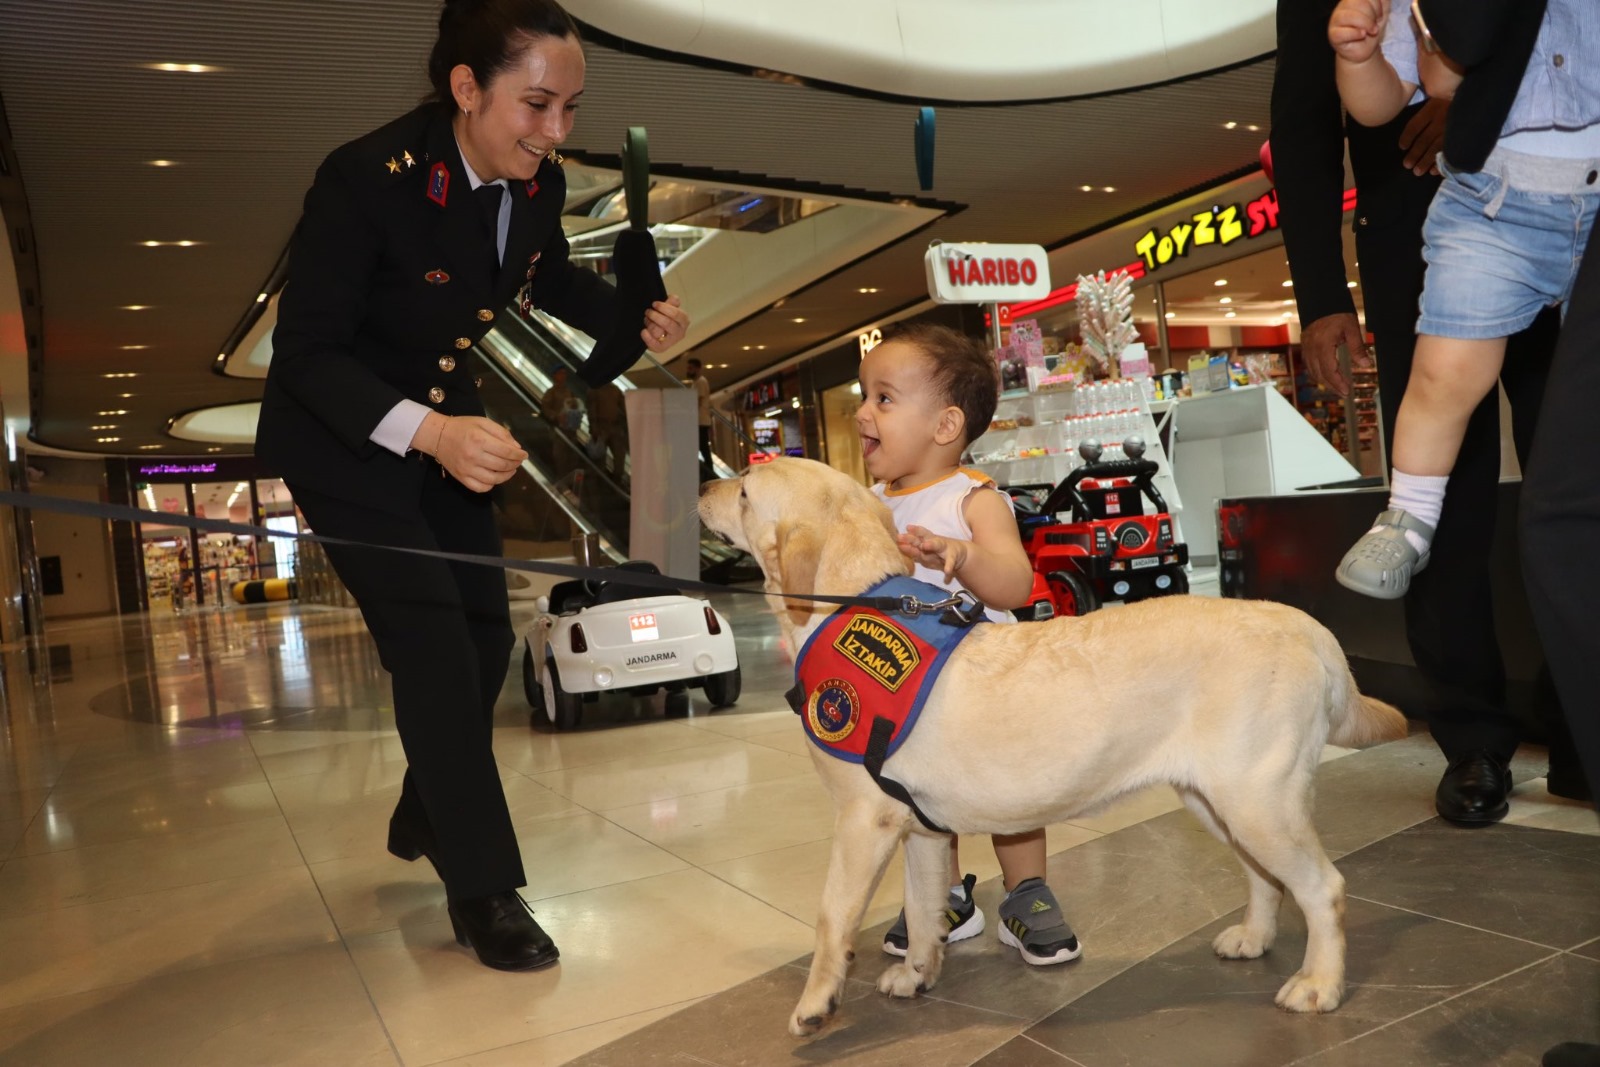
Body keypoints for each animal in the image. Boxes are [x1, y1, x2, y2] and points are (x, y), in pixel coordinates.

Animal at [700, 457, 1401, 1036]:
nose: (704, 486)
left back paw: (1319, 984)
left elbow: (830, 918)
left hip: (1258, 801)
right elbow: (923, 907)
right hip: (1216, 801)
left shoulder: (860, 821)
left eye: (745, 488)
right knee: (1265, 876)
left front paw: (816, 1003)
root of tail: (1308, 627)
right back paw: (1253, 938)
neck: (845, 602)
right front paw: (919, 972)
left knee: (1324, 888)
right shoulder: (919, 829)